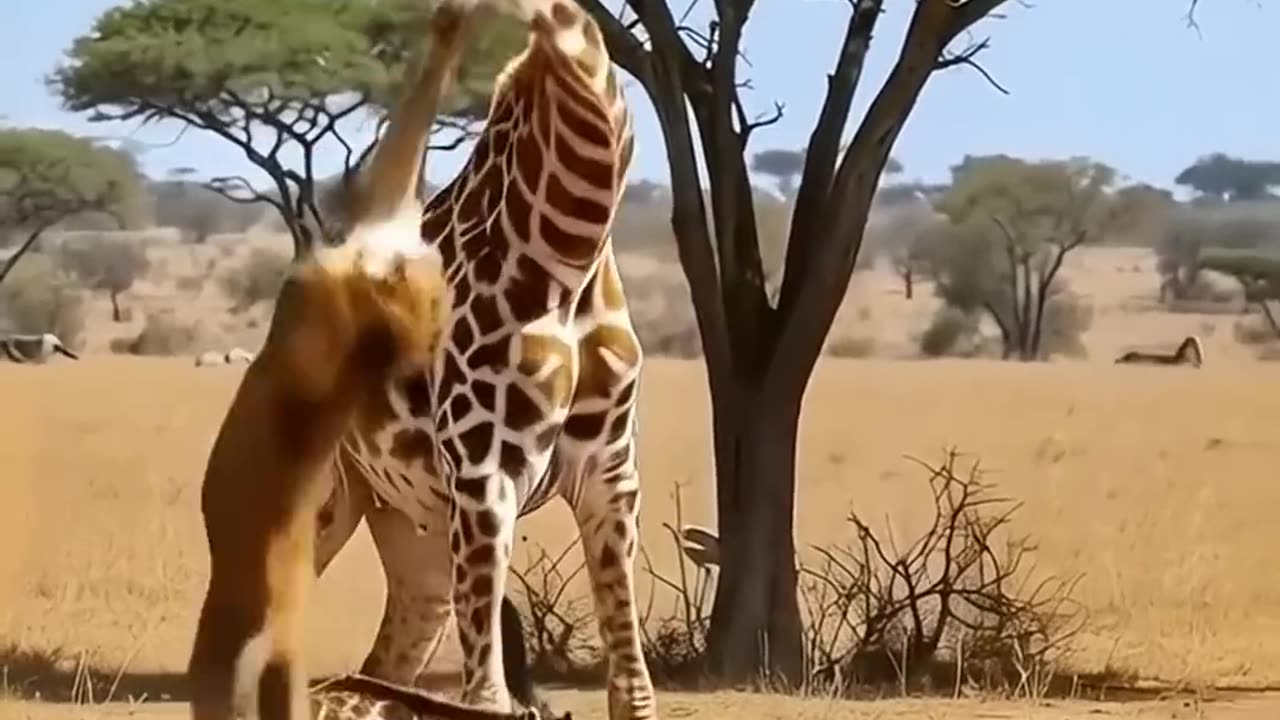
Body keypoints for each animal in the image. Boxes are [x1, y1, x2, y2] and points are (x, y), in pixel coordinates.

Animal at [312, 2, 656, 719]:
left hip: (413, 538)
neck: (571, 247)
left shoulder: (610, 471)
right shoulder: (483, 470)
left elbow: (633, 689)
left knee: (378, 679)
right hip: (324, 499)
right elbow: (488, 696)